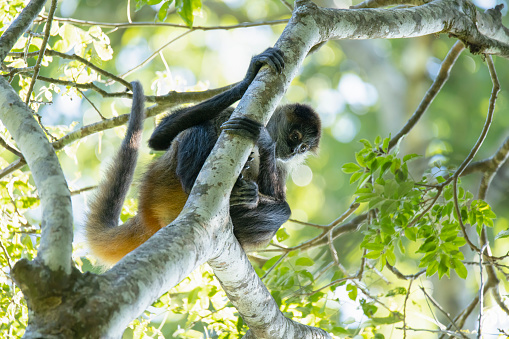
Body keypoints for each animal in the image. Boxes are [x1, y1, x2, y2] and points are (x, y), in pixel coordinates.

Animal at [85, 48, 320, 266]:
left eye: (303, 148)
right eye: (295, 136)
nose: (294, 151)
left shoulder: (281, 166)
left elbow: (279, 198)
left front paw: (264, 142)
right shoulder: (231, 115)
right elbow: (158, 138)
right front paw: (246, 80)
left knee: (282, 209)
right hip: (162, 179)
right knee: (199, 128)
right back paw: (196, 183)